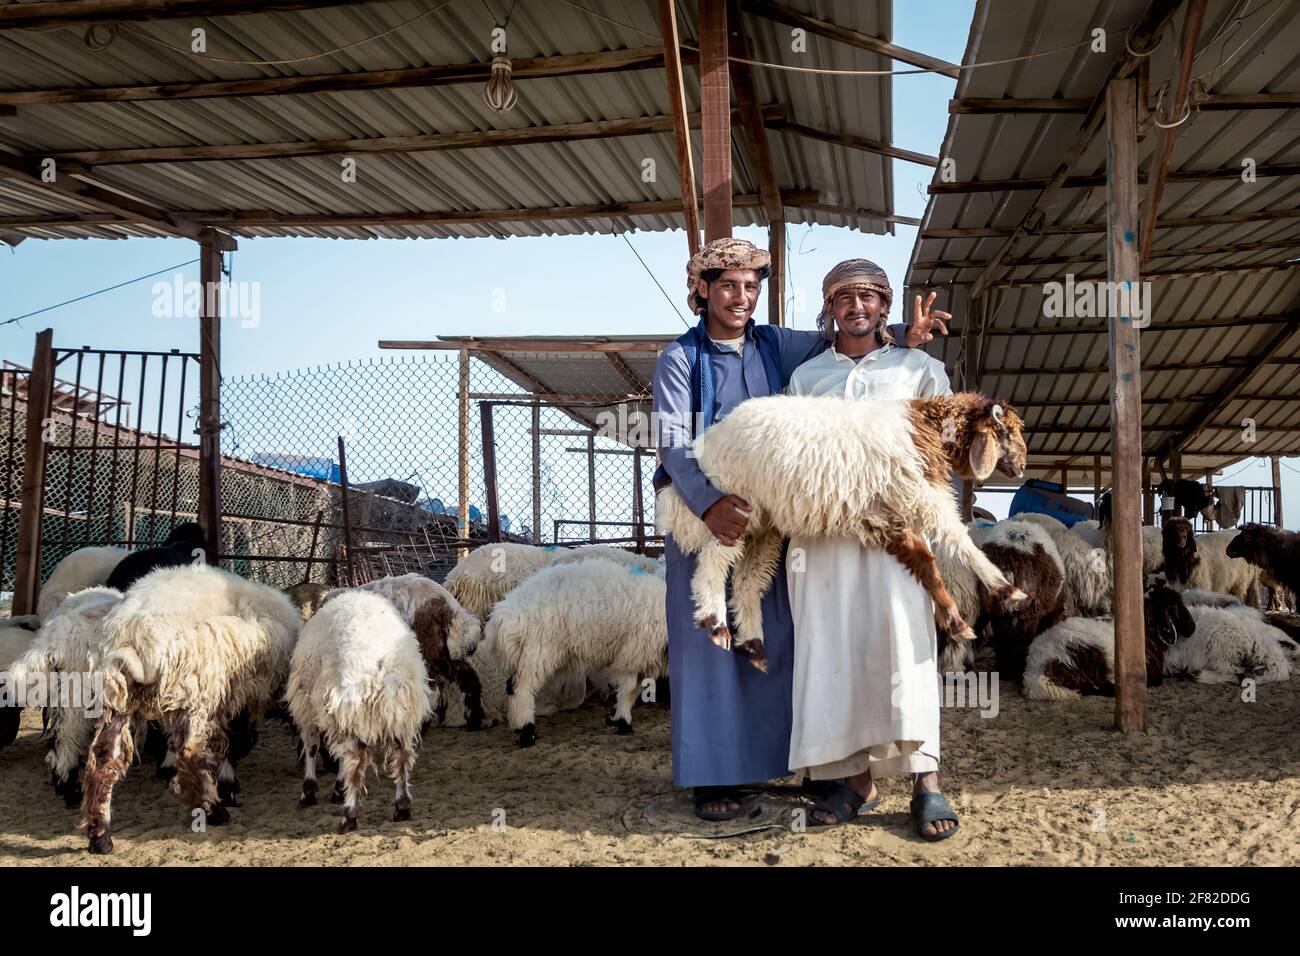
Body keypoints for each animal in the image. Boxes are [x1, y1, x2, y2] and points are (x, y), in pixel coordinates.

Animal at [81, 564, 301, 858]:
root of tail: (131, 641)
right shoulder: (239, 696)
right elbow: (234, 742)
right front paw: (228, 788)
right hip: (192, 693)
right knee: (190, 755)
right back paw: (213, 811)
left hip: (116, 697)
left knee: (104, 761)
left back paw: (100, 836)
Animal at [284, 590, 431, 832]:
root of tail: (384, 665)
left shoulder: (307, 704)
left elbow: (311, 747)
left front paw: (309, 791)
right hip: (401, 714)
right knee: (402, 756)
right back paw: (402, 807)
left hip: (351, 708)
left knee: (355, 761)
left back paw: (349, 816)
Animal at [491, 561, 665, 749]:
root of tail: (504, 615)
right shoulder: (633, 653)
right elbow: (629, 690)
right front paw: (623, 723)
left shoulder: (645, 659)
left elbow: (635, 690)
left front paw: (615, 717)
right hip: (538, 650)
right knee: (521, 688)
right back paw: (527, 732)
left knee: (512, 685)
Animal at [655, 392, 1029, 671]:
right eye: (1006, 433)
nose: (1023, 466)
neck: (926, 427)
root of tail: (704, 446)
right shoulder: (921, 492)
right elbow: (959, 541)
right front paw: (1006, 589)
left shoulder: (887, 515)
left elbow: (924, 561)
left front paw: (954, 620)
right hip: (734, 507)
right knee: (712, 562)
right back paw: (715, 621)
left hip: (764, 527)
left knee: (748, 580)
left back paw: (754, 645)